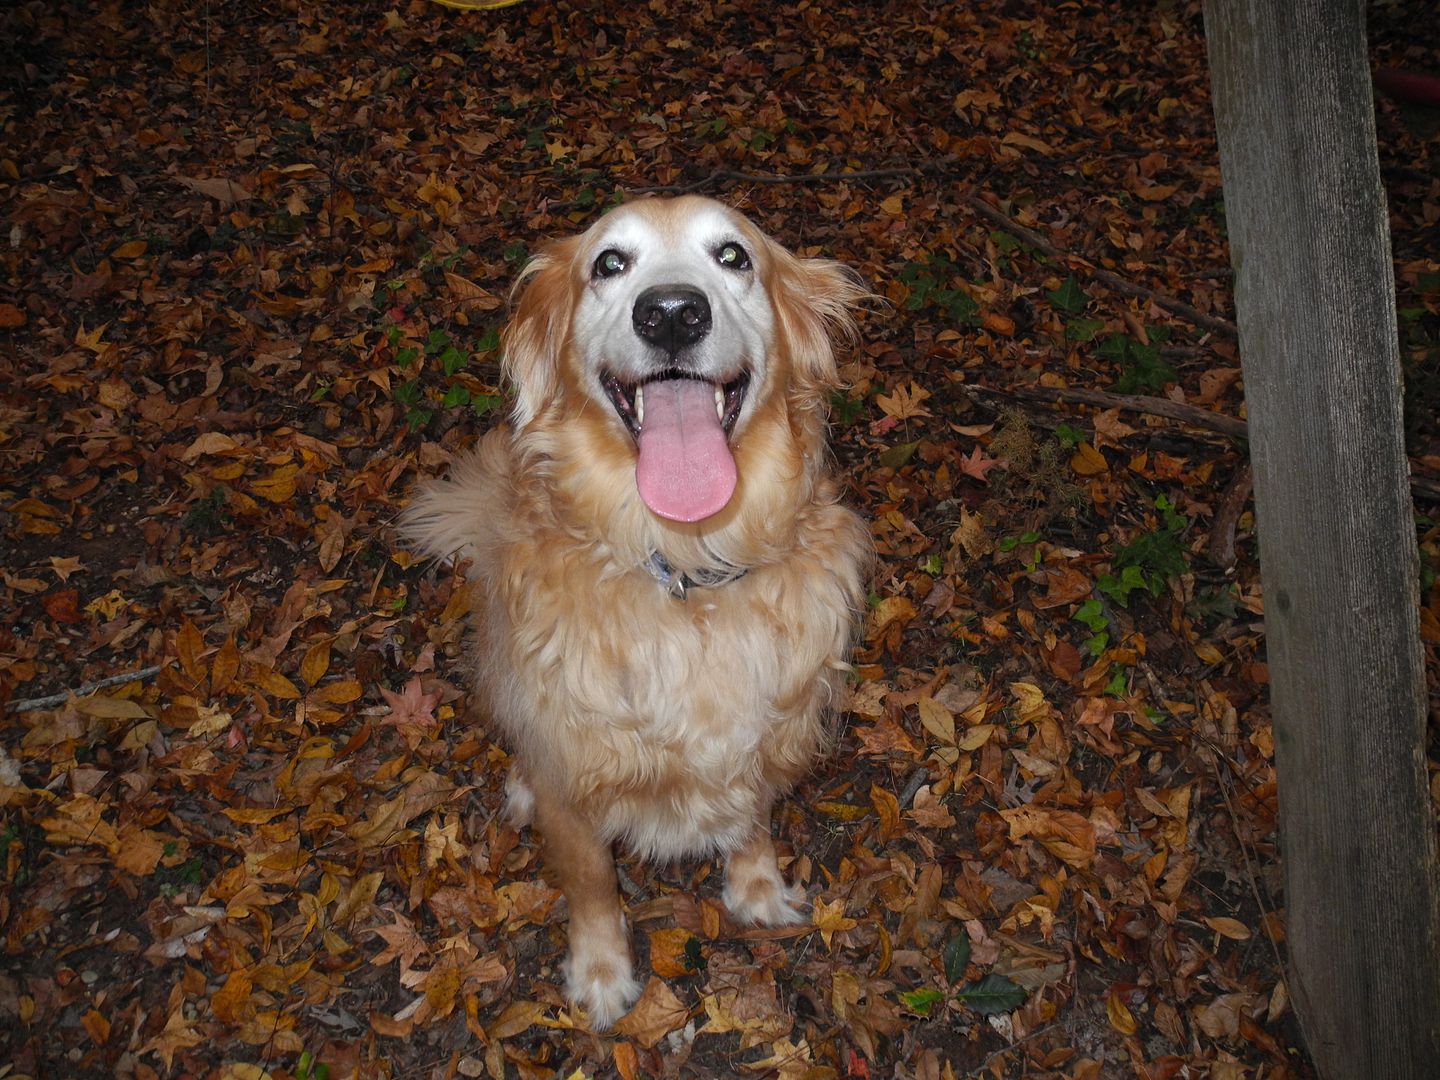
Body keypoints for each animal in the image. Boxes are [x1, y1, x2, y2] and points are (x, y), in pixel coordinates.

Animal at [408, 197, 875, 1031]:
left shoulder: (767, 729)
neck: (685, 569)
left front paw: (756, 889)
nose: (672, 313)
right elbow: (592, 883)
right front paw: (602, 974)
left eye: (733, 255)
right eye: (609, 263)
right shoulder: (574, 777)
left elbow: (752, 817)